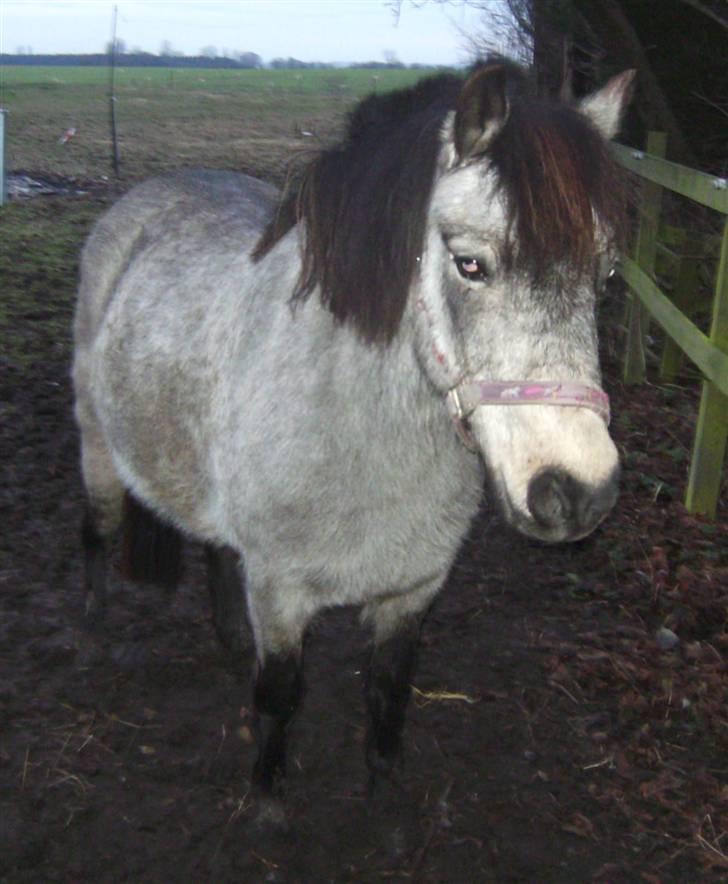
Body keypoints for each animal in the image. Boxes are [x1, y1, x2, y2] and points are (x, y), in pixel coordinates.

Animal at [73, 60, 633, 807]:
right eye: (471, 264)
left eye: (606, 273)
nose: (576, 492)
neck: (352, 423)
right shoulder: (280, 593)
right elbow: (279, 695)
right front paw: (267, 801)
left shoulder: (413, 588)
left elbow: (390, 690)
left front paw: (385, 787)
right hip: (97, 448)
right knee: (96, 532)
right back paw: (95, 626)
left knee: (216, 549)